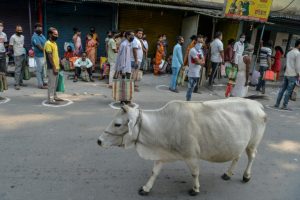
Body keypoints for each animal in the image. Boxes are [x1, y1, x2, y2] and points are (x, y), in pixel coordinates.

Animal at [98, 97, 268, 196]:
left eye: (117, 124)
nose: (99, 141)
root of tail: (257, 104)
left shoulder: (191, 156)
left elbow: (195, 173)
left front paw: (195, 189)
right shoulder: (162, 155)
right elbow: (154, 172)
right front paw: (146, 188)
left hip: (252, 143)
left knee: (252, 156)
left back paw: (246, 176)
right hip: (238, 143)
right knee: (237, 156)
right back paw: (228, 174)